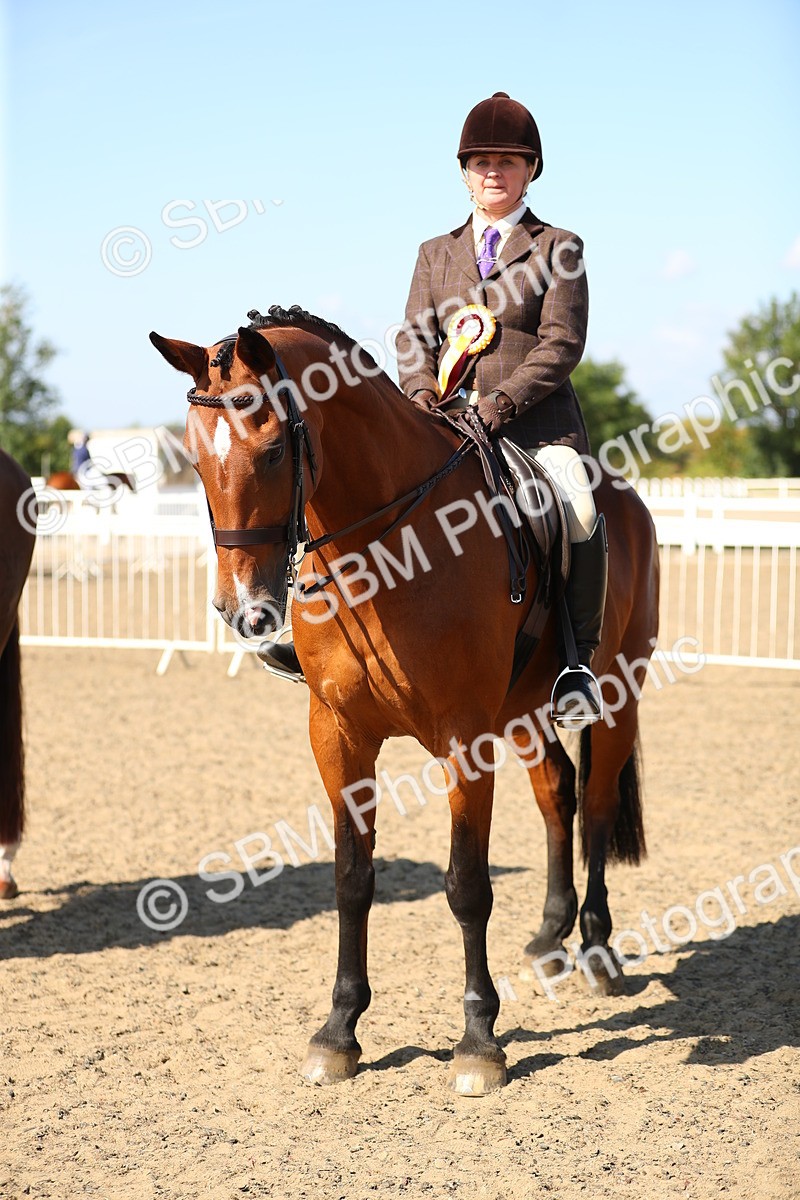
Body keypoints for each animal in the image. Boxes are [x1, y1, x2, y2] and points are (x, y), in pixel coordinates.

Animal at [150, 307, 660, 1095]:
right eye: (198, 460)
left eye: (273, 452)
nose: (244, 611)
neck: (381, 552)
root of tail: (625, 495)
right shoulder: (338, 735)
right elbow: (352, 878)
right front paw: (338, 1031)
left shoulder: (464, 738)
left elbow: (467, 884)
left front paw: (479, 1041)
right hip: (524, 713)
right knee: (558, 796)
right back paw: (551, 937)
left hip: (617, 691)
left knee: (598, 808)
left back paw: (598, 952)